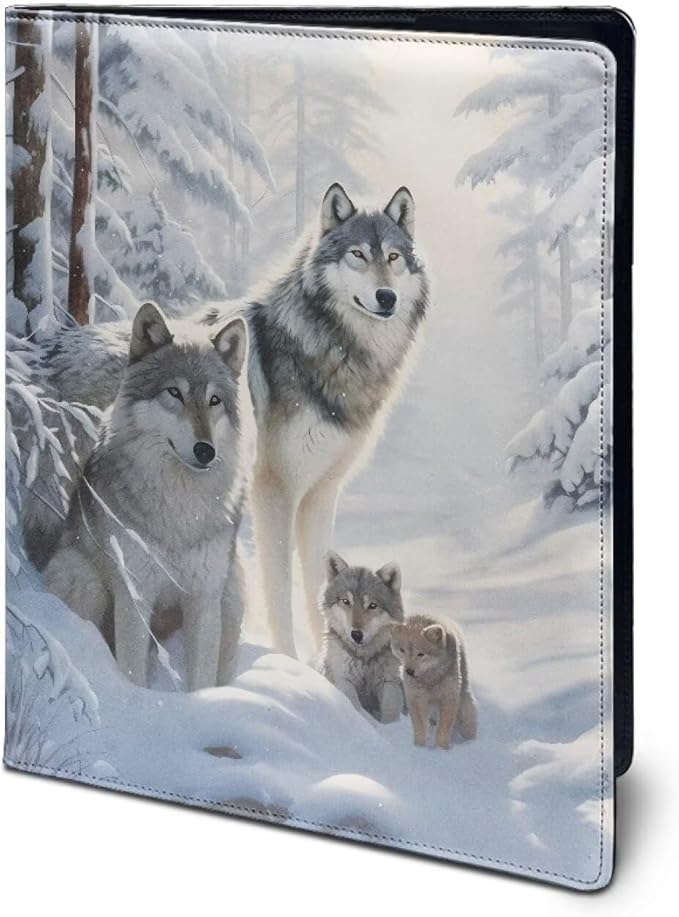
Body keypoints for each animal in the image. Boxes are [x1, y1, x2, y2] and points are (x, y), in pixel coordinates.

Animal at [44, 302, 250, 690]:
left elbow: (201, 679)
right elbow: (132, 673)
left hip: (232, 598)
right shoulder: (135, 594)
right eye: (174, 393)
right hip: (82, 581)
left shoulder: (204, 597)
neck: (180, 508)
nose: (206, 451)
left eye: (214, 400)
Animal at [318, 550, 404, 723]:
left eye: (372, 605)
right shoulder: (343, 679)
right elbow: (355, 707)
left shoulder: (388, 681)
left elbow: (391, 711)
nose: (356, 634)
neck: (364, 657)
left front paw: (391, 728)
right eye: (345, 601)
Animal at [391, 614, 478, 749]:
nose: (409, 671)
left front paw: (442, 749)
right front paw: (419, 748)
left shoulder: (448, 697)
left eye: (421, 654)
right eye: (402, 650)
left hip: (464, 709)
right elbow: (420, 729)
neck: (430, 679)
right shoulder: (416, 698)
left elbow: (443, 730)